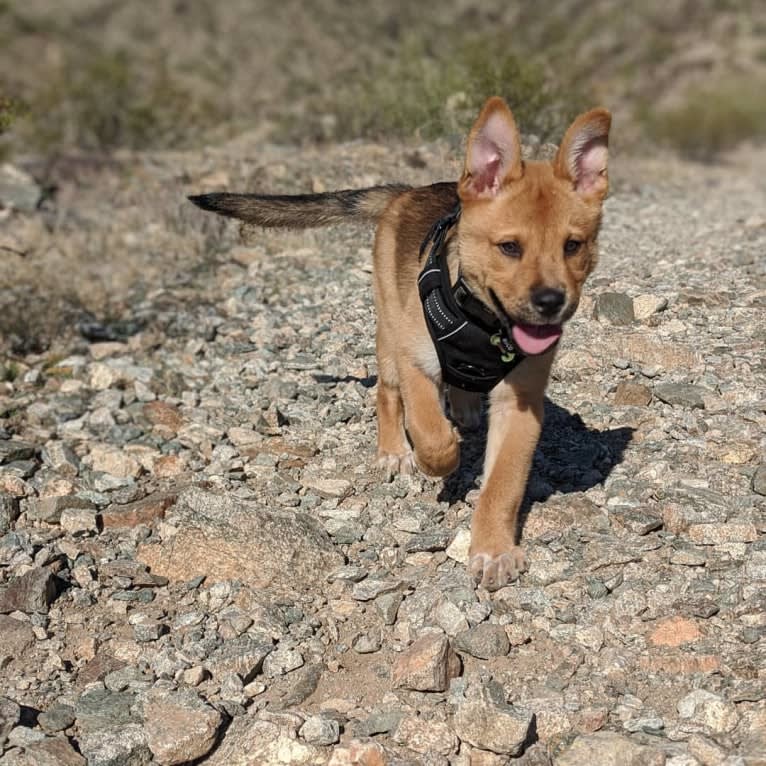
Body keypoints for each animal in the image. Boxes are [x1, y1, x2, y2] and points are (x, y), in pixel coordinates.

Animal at [190, 99, 612, 592]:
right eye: (509, 247)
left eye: (573, 246)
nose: (550, 303)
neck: (482, 322)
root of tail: (407, 192)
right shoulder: (417, 364)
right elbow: (430, 433)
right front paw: (441, 464)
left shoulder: (521, 403)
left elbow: (503, 485)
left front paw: (493, 550)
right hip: (389, 336)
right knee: (387, 394)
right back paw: (395, 450)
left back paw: (465, 407)